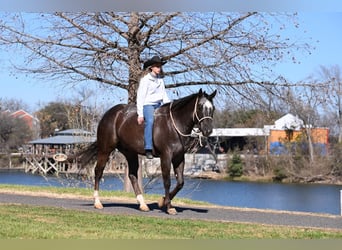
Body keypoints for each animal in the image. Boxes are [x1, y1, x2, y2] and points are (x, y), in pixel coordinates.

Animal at [78, 89, 215, 214]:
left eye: (212, 108)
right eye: (200, 107)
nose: (208, 131)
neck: (174, 125)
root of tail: (109, 114)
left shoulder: (179, 157)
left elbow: (180, 182)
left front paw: (163, 201)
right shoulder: (166, 156)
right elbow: (167, 182)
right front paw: (168, 206)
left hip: (130, 153)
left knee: (132, 175)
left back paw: (143, 204)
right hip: (105, 149)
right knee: (98, 171)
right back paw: (97, 202)